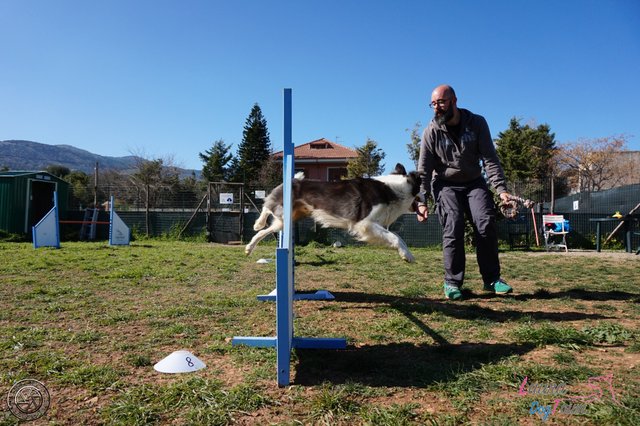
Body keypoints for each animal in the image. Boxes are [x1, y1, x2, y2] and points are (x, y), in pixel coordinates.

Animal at [245, 164, 420, 262]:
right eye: (422, 189)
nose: (426, 198)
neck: (393, 189)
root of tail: (294, 180)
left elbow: (397, 237)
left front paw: (406, 254)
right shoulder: (365, 223)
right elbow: (395, 237)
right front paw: (407, 255)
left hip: (286, 219)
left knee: (266, 230)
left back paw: (249, 247)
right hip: (282, 208)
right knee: (266, 205)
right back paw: (258, 223)